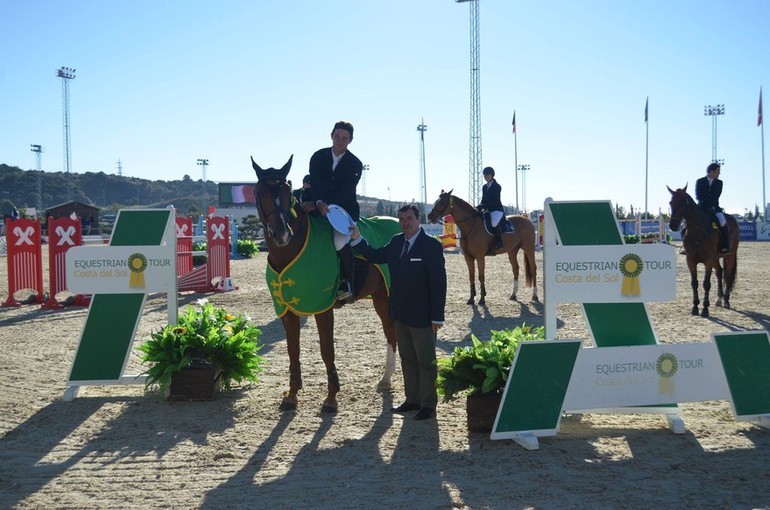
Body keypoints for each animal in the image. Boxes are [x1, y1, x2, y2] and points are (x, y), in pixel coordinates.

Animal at [252, 153, 396, 412]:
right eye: (260, 192)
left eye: (287, 191)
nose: (281, 234)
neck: (290, 250)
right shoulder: (287, 310)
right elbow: (293, 350)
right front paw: (292, 394)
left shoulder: (322, 308)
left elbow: (327, 350)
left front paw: (331, 398)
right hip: (381, 295)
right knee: (391, 332)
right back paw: (386, 380)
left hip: (388, 296)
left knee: (393, 333)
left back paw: (389, 379)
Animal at [664, 185, 736, 316]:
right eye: (671, 203)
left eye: (682, 203)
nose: (672, 226)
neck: (698, 230)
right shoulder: (691, 260)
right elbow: (694, 283)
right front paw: (695, 307)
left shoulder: (708, 261)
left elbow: (706, 284)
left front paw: (705, 309)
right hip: (716, 258)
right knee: (719, 272)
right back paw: (719, 299)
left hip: (730, 256)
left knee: (727, 275)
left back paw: (726, 300)